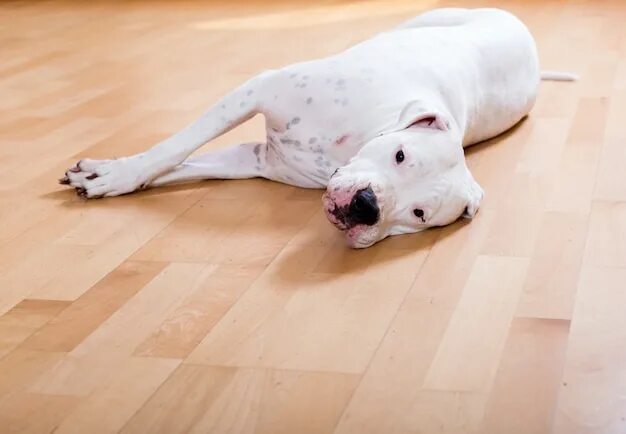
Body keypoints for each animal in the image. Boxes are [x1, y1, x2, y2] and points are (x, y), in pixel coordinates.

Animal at [58, 7, 572, 248]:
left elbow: (184, 165)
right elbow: (172, 150)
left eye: (419, 214)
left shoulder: (254, 160)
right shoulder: (257, 89)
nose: (366, 206)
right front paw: (116, 173)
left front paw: (108, 176)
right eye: (400, 155)